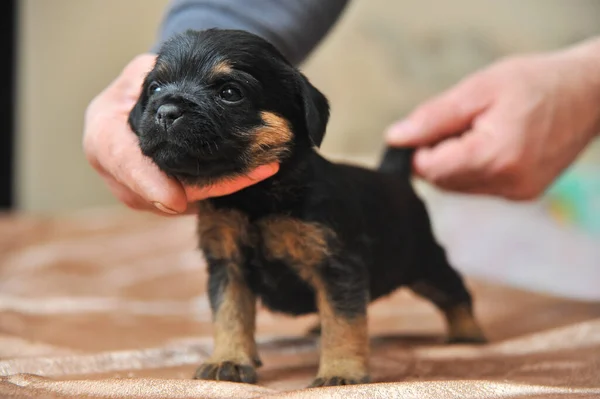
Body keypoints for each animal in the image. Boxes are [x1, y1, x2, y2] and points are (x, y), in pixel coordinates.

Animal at [127, 28, 488, 388]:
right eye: (154, 88)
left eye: (230, 93)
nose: (166, 110)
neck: (255, 198)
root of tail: (393, 176)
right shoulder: (228, 265)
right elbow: (230, 314)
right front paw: (228, 359)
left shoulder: (336, 266)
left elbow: (344, 322)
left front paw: (341, 371)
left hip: (425, 262)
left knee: (454, 291)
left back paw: (468, 333)